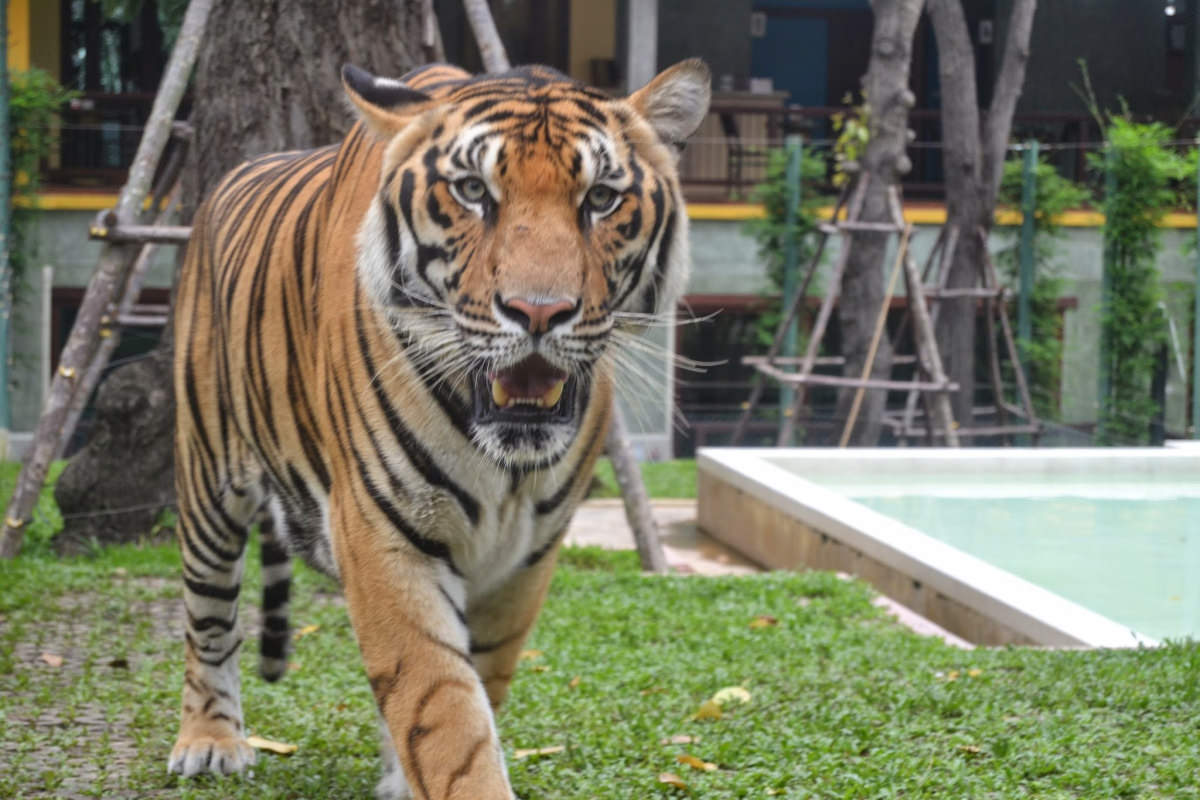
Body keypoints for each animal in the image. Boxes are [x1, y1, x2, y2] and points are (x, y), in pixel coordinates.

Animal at [166, 57, 710, 799]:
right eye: (473, 191)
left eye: (600, 198)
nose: (540, 312)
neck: (507, 468)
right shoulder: (384, 532)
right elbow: (443, 708)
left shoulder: (526, 556)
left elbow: (465, 690)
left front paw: (406, 777)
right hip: (208, 480)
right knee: (209, 619)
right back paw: (210, 741)